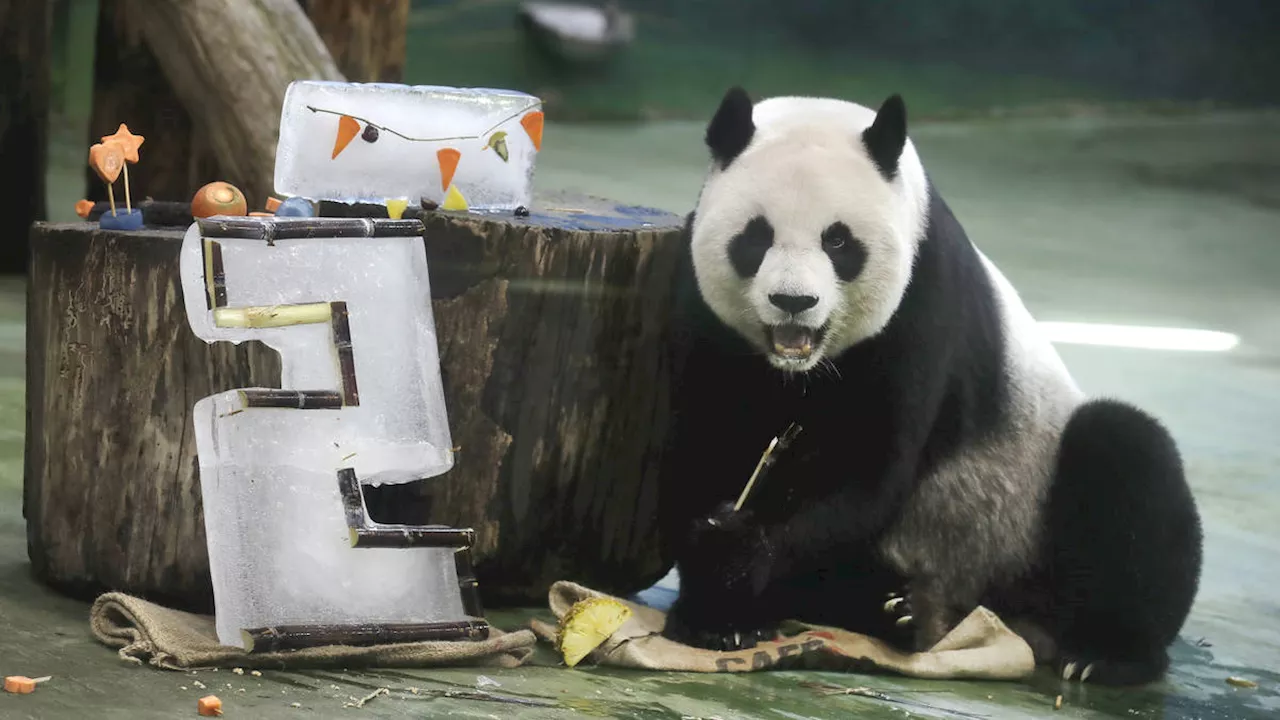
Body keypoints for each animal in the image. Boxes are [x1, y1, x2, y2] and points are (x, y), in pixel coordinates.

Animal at [655, 85, 1203, 681]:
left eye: (839, 242)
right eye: (755, 237)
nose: (793, 301)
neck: (800, 370)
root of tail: (1006, 613)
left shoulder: (920, 302)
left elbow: (865, 463)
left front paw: (734, 568)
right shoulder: (704, 314)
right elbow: (708, 440)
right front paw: (717, 609)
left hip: (1025, 507)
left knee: (1127, 456)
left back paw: (1098, 653)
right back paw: (890, 607)